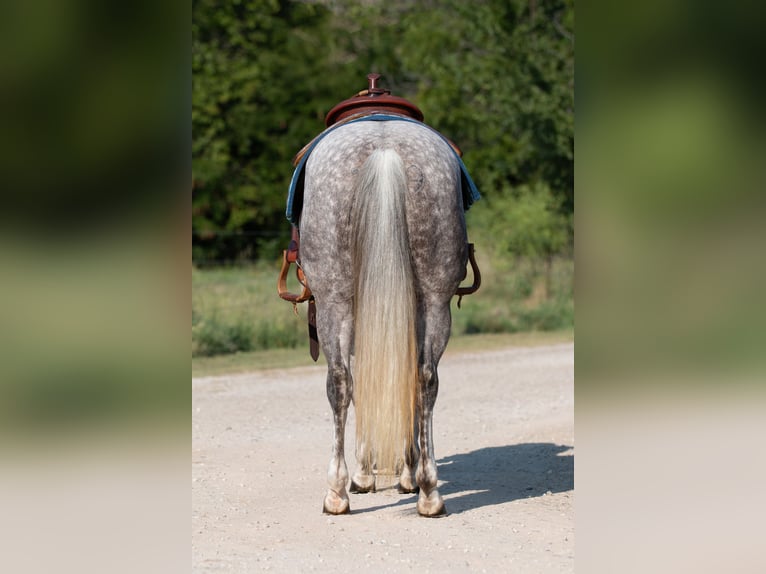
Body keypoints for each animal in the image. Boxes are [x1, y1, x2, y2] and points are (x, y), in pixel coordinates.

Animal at [298, 120, 468, 516]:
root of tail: (385, 148)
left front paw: (364, 474)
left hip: (333, 302)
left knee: (340, 383)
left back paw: (337, 492)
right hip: (434, 302)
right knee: (423, 379)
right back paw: (428, 492)